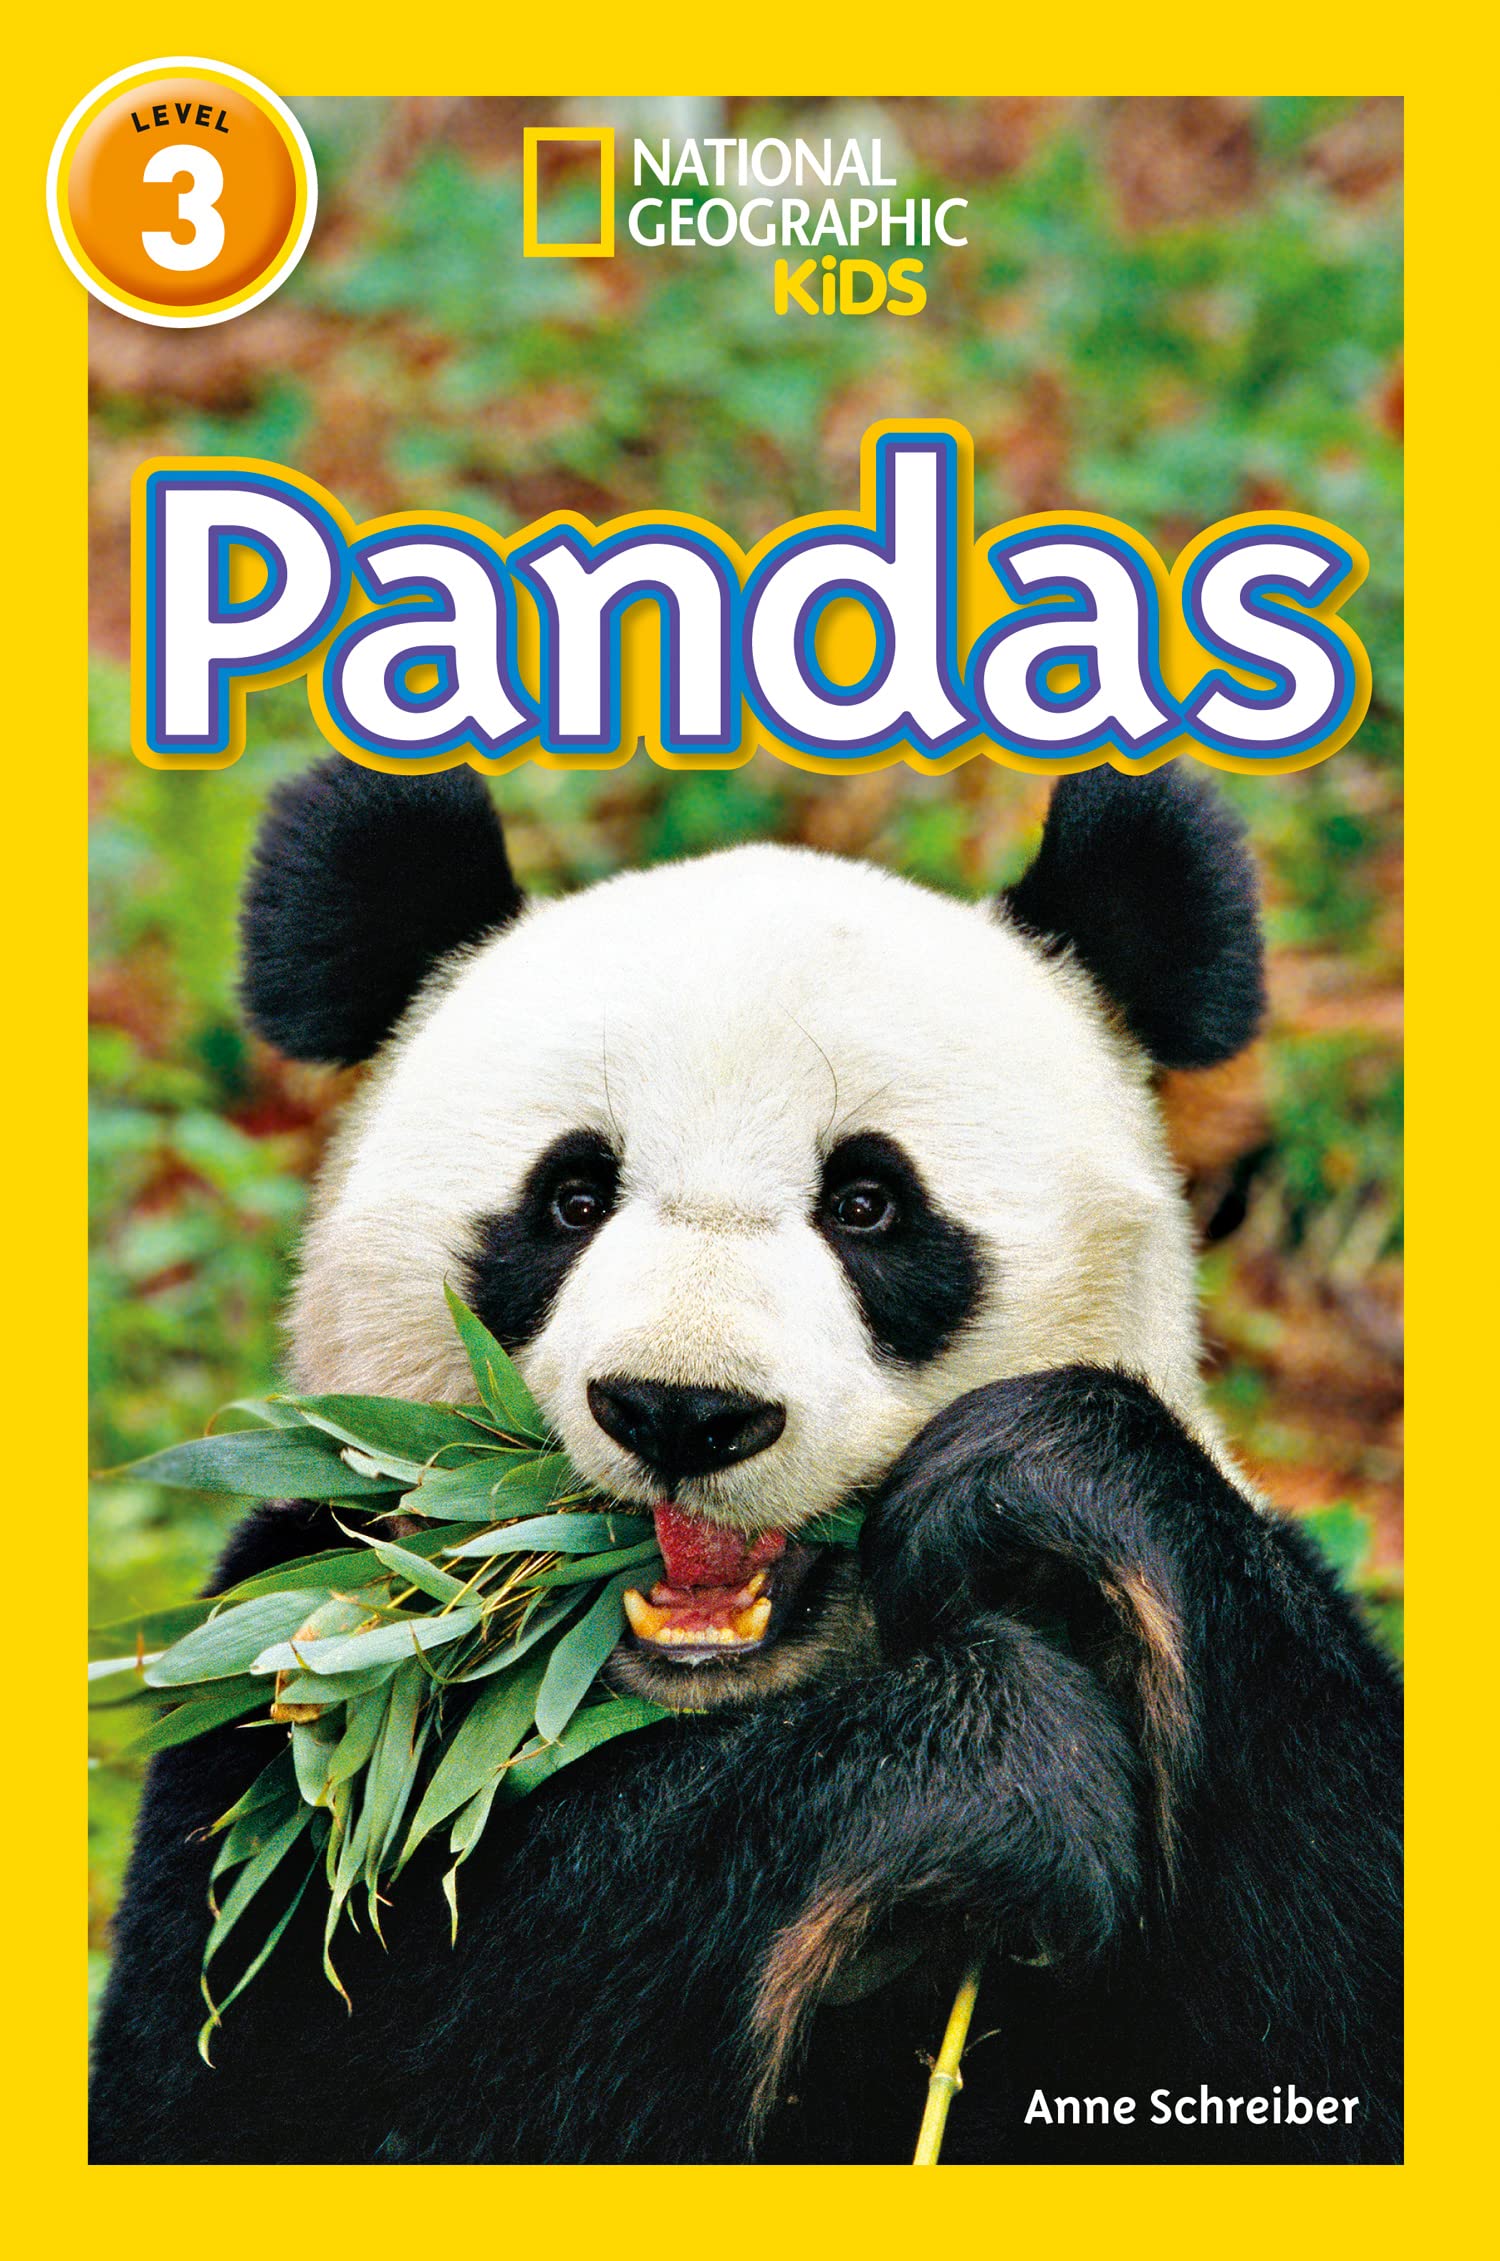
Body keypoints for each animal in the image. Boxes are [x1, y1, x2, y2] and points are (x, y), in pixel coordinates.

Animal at [89, 758, 1402, 2165]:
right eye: (571, 1197)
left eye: (870, 1203)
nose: (683, 1409)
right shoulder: (307, 1683)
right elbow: (289, 2068)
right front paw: (992, 1760)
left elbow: (1334, 1992)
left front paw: (1038, 1483)